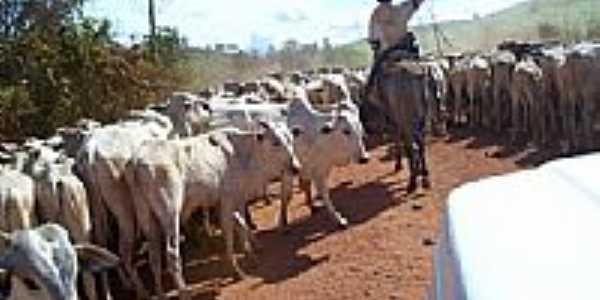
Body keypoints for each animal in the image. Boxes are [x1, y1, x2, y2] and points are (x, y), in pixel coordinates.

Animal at [123, 120, 300, 298]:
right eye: (275, 142)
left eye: (291, 139)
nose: (296, 168)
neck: (241, 153)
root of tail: (136, 161)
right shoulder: (227, 201)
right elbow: (229, 234)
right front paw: (236, 271)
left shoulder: (236, 200)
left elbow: (242, 226)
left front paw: (252, 254)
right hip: (171, 214)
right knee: (171, 253)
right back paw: (184, 292)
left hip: (147, 218)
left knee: (153, 256)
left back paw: (160, 294)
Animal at [368, 60, 428, 192]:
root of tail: (416, 75)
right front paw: (419, 171)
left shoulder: (394, 122)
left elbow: (397, 140)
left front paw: (399, 165)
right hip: (420, 120)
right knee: (420, 145)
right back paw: (425, 177)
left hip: (406, 121)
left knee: (411, 147)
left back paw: (412, 182)